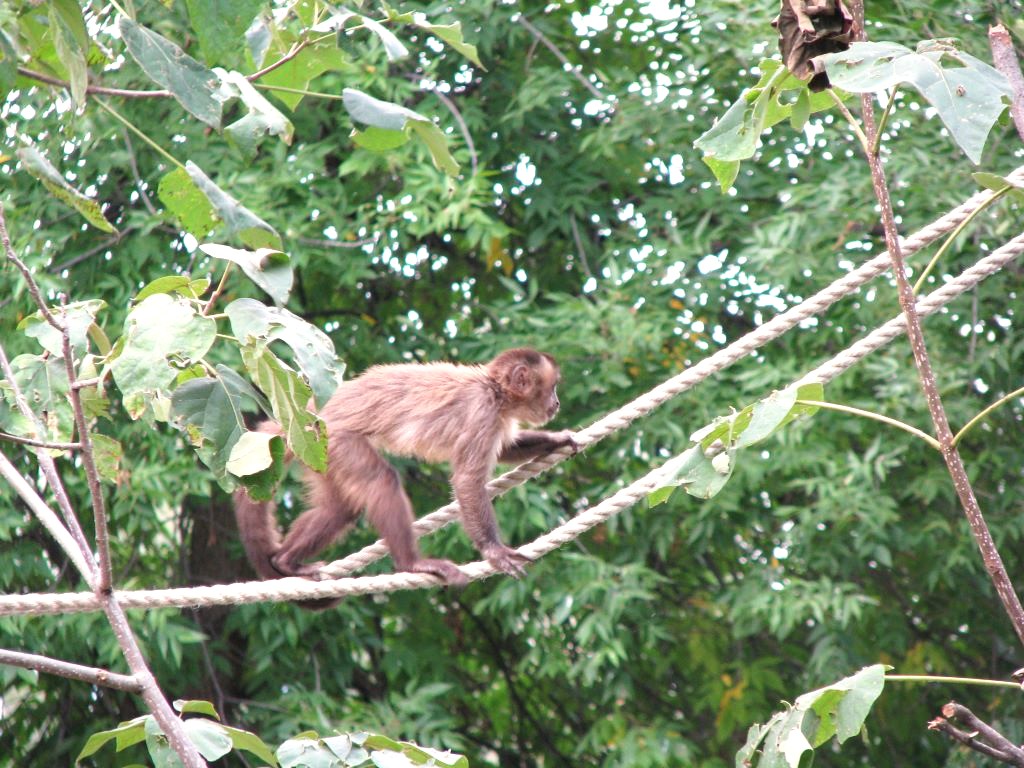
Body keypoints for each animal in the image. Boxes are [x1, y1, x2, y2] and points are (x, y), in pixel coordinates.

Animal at [233, 348, 578, 600]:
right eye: (552, 388)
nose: (558, 402)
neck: (493, 389)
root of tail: (312, 415)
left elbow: (505, 449)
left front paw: (558, 440)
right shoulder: (483, 411)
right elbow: (467, 480)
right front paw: (494, 551)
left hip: (319, 453)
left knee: (340, 508)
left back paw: (286, 562)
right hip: (337, 440)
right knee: (381, 481)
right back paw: (412, 565)